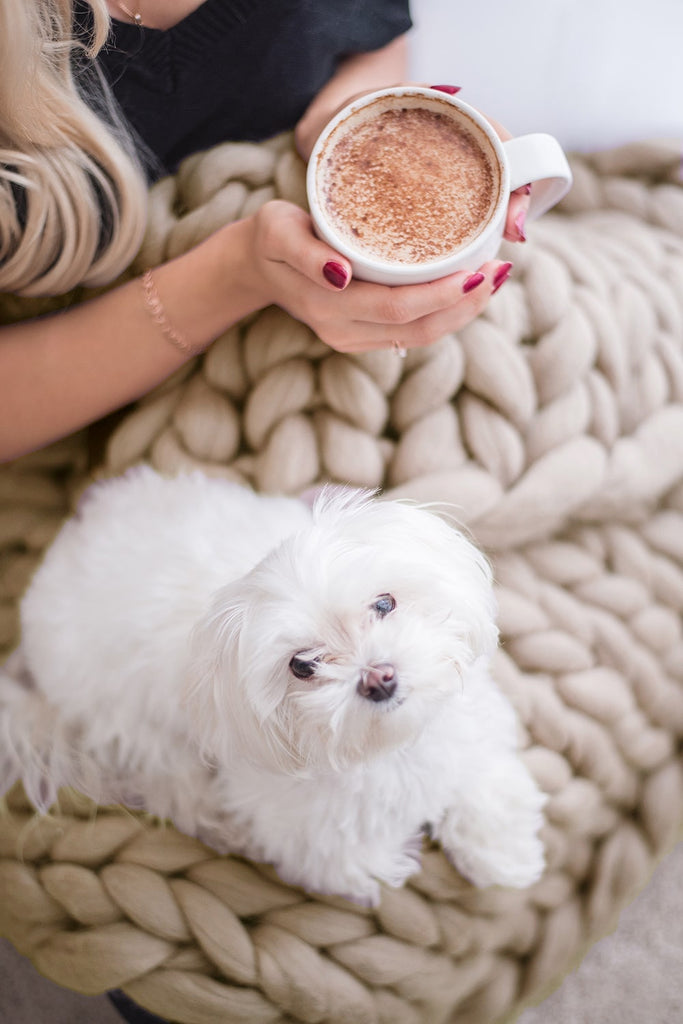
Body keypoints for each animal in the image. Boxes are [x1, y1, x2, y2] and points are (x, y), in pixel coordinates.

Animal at [0, 466, 544, 905]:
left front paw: (503, 852)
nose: (378, 677)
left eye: (384, 604)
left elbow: (483, 782)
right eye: (302, 666)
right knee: (174, 788)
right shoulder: (310, 836)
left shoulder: (468, 735)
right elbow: (349, 862)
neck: (388, 746)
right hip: (137, 727)